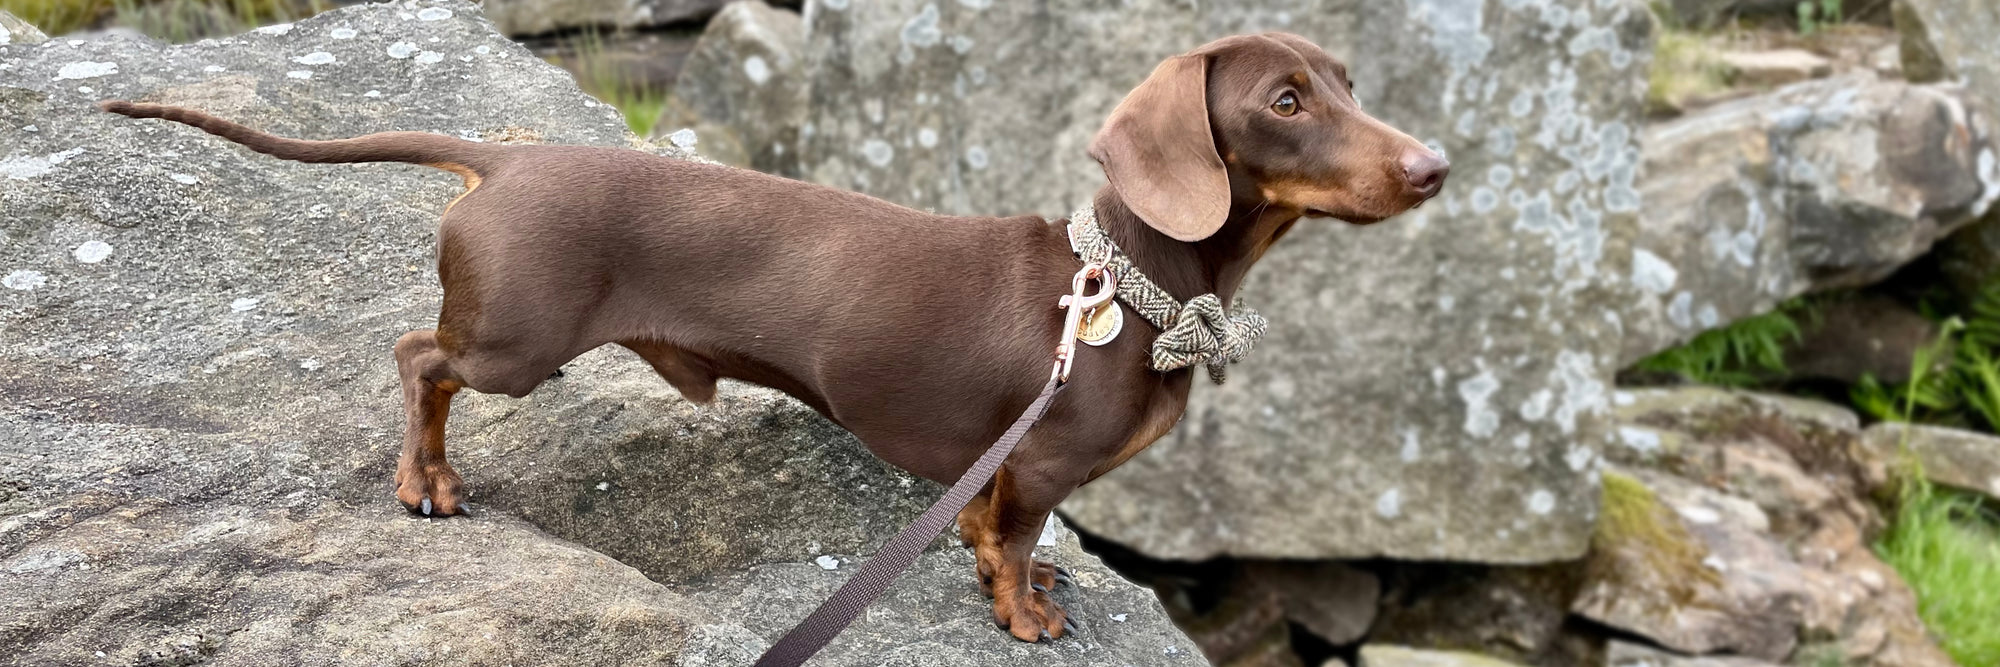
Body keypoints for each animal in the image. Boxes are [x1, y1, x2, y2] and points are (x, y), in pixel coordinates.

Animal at [101, 29, 1448, 639]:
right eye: (1285, 100)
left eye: (1346, 78)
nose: (1434, 166)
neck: (1130, 289)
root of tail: (506, 158)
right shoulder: (1044, 462)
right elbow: (1014, 543)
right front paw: (1025, 613)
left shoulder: (1000, 467)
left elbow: (982, 525)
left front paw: (1009, 573)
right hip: (514, 345)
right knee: (416, 357)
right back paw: (424, 478)